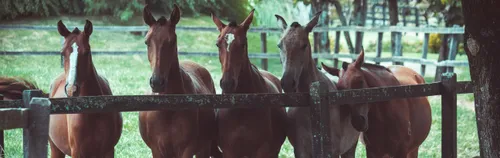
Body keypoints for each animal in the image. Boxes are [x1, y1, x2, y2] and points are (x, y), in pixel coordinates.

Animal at [48, 19, 123, 157]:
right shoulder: (77, 153)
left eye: (87, 52)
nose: (71, 89)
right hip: (55, 149)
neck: (93, 111)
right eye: (62, 53)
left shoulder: (109, 151)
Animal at [139, 4, 221, 157]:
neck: (168, 110)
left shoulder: (187, 149)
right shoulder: (157, 150)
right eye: (147, 42)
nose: (157, 82)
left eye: (172, 41)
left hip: (204, 147)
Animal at [211, 10, 288, 158]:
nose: (227, 83)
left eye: (242, 44)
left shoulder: (262, 150)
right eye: (218, 44)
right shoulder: (229, 151)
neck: (242, 109)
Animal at [276, 12, 362, 157]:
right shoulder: (300, 150)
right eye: (279, 45)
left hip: (350, 148)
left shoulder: (332, 151)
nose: (287, 83)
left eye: (304, 45)